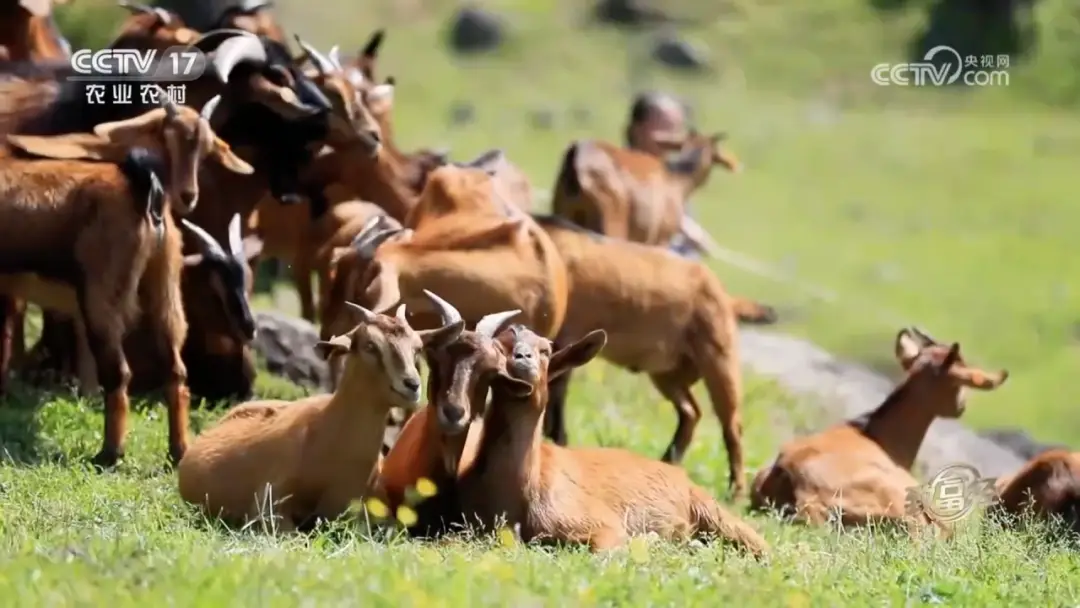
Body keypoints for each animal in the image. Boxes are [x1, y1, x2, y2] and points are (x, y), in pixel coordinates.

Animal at [0, 90, 254, 468]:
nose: (248, 328)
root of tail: (146, 192)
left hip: (102, 295)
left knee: (119, 372)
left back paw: (109, 454)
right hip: (163, 289)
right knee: (175, 370)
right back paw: (178, 450)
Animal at [453, 326, 768, 557]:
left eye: (546, 350)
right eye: (500, 346)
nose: (522, 358)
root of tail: (680, 474)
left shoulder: (600, 523)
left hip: (711, 509)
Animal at [527, 213, 747, 494]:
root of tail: (725, 295)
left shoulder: (566, 339)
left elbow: (555, 395)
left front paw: (558, 441)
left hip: (719, 360)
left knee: (732, 426)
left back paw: (736, 490)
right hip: (667, 373)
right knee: (691, 412)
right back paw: (669, 462)